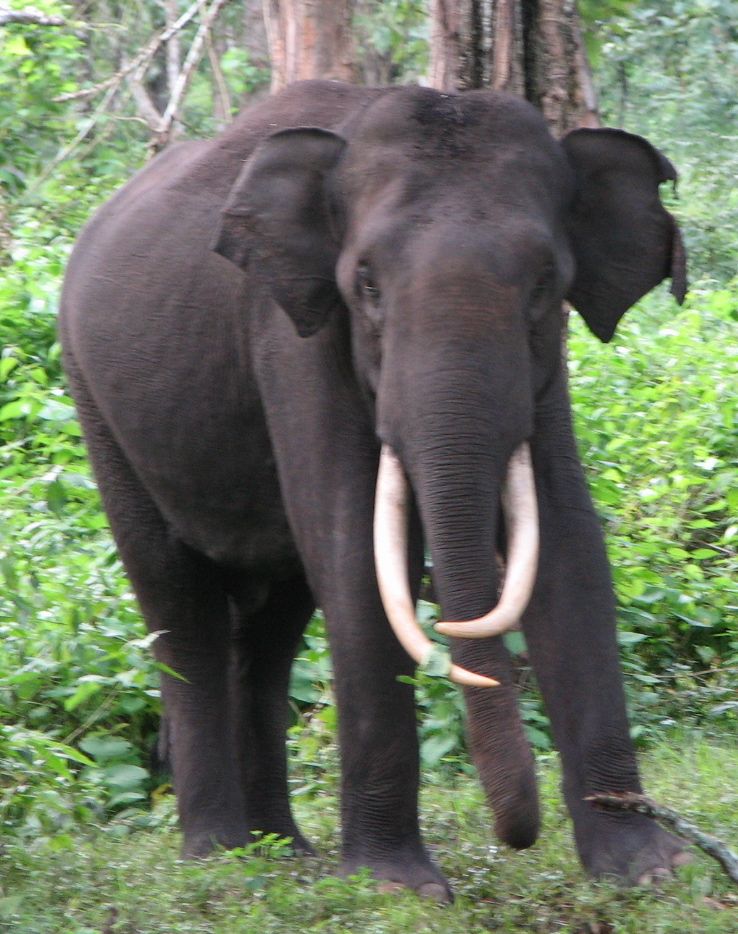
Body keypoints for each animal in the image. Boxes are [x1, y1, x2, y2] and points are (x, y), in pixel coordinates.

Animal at [59, 80, 689, 898]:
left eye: (547, 284)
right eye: (365, 285)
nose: (518, 839)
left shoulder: (545, 367)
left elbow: (569, 548)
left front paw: (651, 870)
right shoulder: (293, 337)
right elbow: (355, 554)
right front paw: (397, 889)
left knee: (270, 626)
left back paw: (284, 854)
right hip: (98, 404)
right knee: (179, 603)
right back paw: (221, 857)